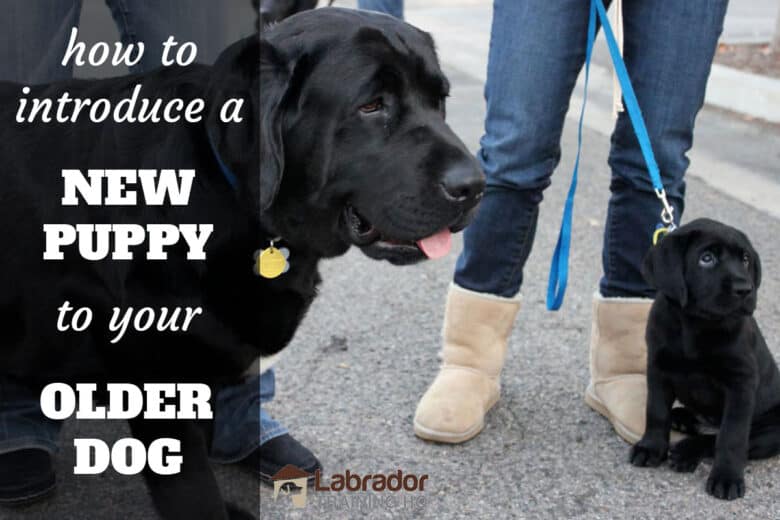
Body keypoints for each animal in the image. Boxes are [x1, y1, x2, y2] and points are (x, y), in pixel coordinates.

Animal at [632, 216, 776, 500]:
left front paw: (727, 478)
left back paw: (686, 451)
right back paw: (682, 420)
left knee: (719, 438)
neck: (696, 324)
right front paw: (651, 447)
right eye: (706, 258)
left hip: (773, 429)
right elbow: (656, 411)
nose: (745, 289)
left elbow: (732, 436)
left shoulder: (741, 383)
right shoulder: (657, 368)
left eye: (745, 259)